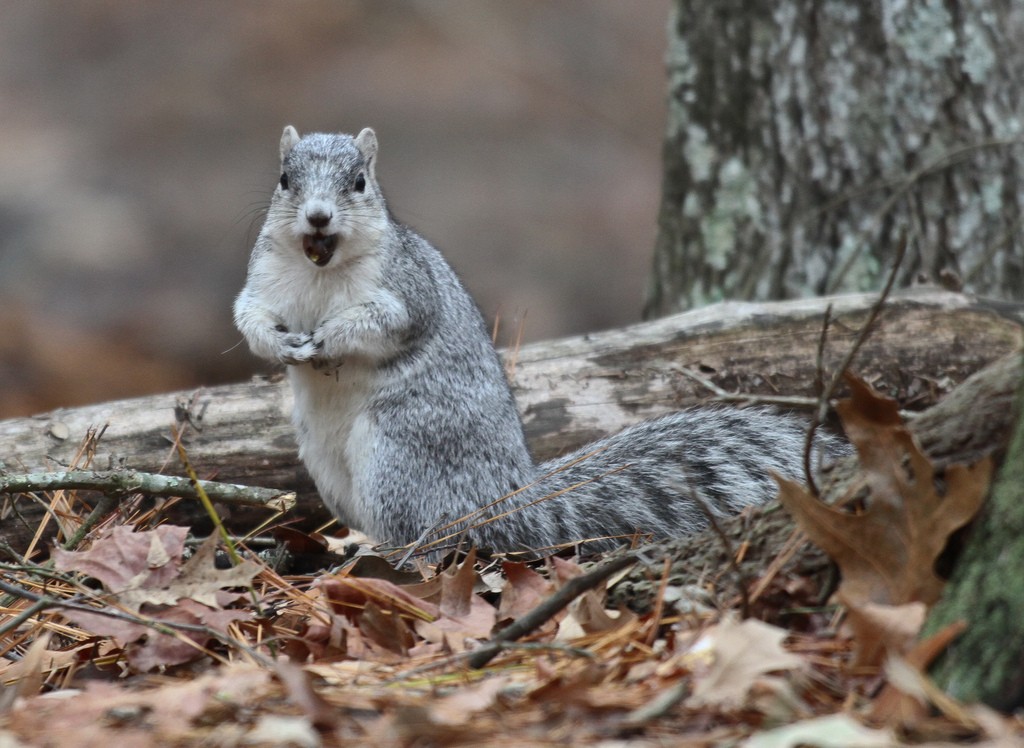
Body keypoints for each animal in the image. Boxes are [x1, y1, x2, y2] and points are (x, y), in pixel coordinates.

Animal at [234, 127, 846, 558]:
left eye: (359, 182)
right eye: (284, 179)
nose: (317, 217)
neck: (320, 271)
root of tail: (502, 499)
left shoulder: (406, 291)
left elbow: (385, 324)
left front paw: (331, 336)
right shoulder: (262, 281)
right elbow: (250, 320)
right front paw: (282, 346)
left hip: (400, 454)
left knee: (430, 534)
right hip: (329, 468)